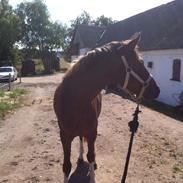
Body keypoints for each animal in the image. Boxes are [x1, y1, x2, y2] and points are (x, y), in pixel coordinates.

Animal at [53, 33, 159, 182]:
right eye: (140, 62)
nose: (157, 90)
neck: (75, 101)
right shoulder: (64, 136)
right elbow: (66, 166)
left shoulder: (92, 132)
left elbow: (91, 156)